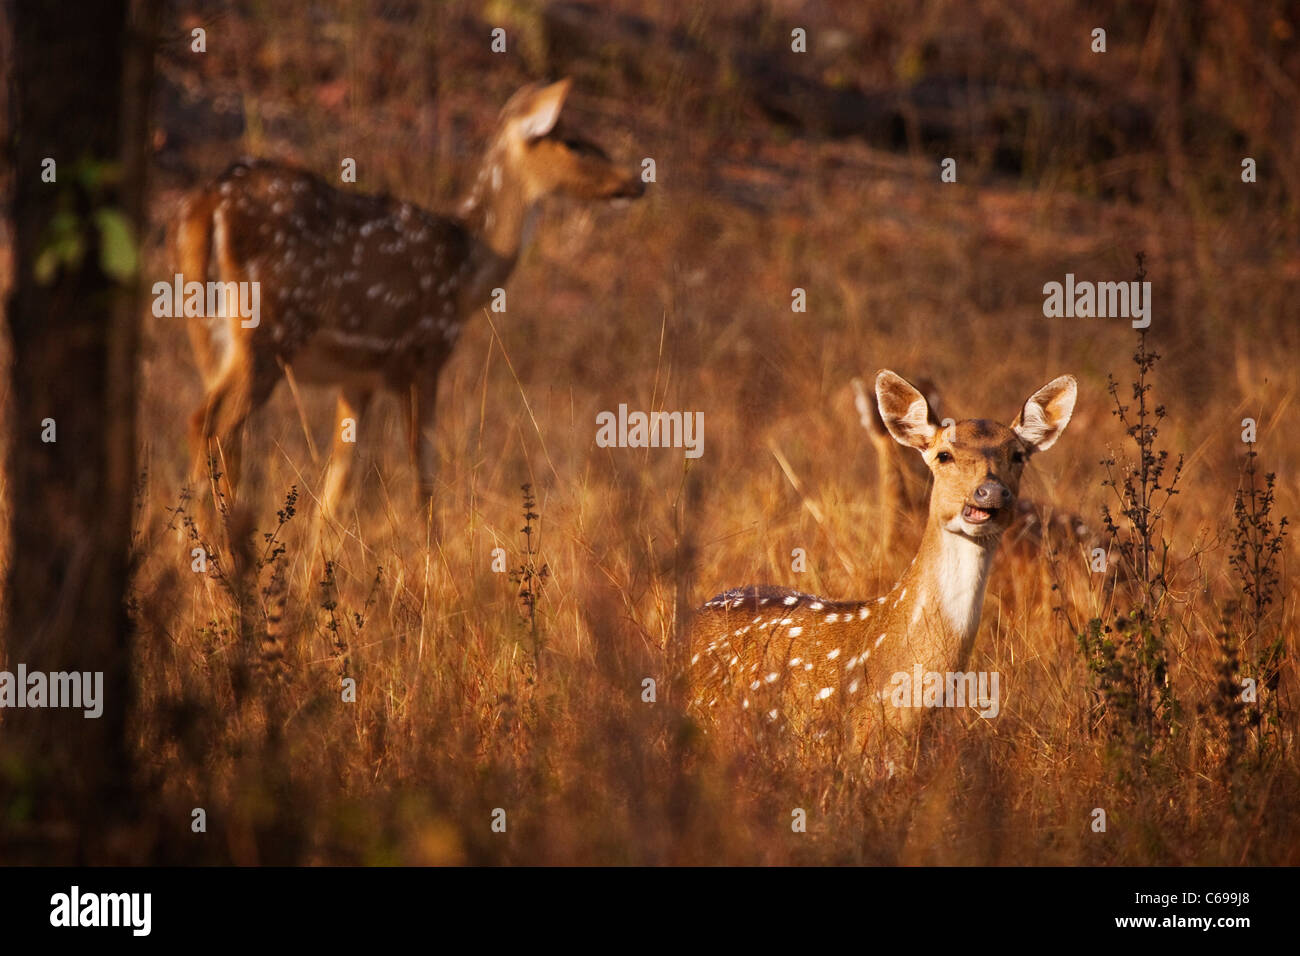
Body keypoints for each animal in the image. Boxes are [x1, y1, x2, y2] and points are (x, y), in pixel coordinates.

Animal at [175, 78, 642, 520]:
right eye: (572, 140)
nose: (636, 182)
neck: (467, 270)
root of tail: (211, 198)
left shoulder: (360, 376)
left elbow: (338, 485)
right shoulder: (424, 354)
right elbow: (423, 473)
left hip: (216, 334)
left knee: (209, 425)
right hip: (269, 327)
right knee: (216, 426)